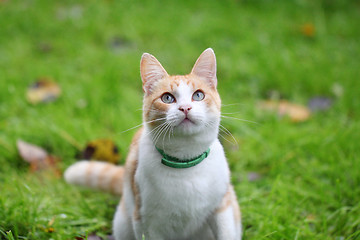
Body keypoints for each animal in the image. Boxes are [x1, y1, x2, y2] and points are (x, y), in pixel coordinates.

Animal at [66, 47, 243, 239]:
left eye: (198, 95)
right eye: (167, 98)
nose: (185, 108)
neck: (185, 163)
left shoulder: (223, 209)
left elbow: (226, 233)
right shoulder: (147, 222)